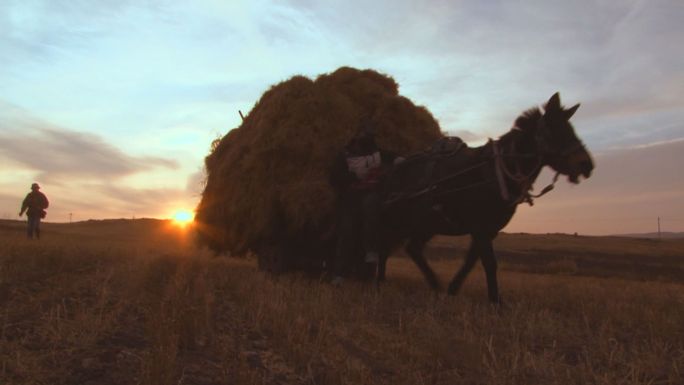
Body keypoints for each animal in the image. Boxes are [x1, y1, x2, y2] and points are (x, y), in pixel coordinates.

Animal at [376, 91, 592, 302]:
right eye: (553, 129)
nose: (587, 165)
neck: (498, 172)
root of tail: (395, 168)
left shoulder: (488, 229)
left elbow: (471, 261)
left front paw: (453, 290)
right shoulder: (481, 228)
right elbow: (489, 263)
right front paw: (495, 302)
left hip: (426, 224)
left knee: (412, 248)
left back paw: (434, 284)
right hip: (398, 220)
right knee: (384, 246)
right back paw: (380, 282)